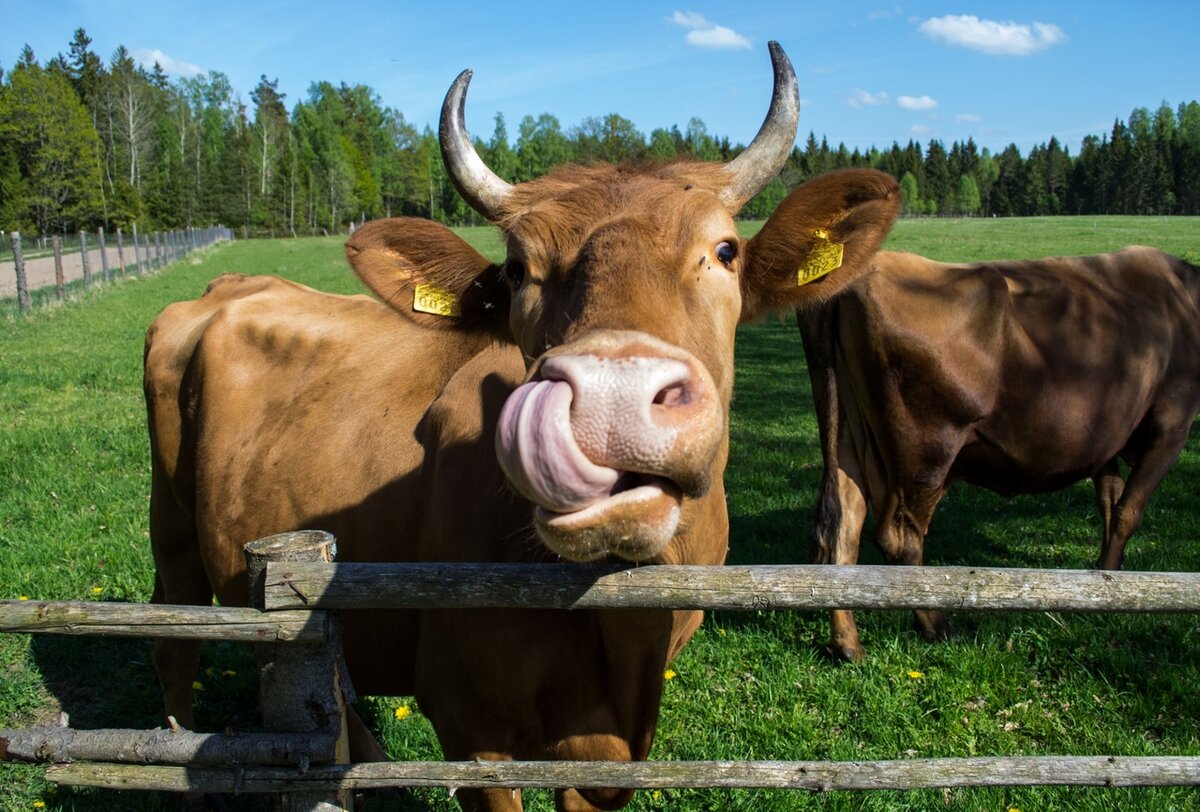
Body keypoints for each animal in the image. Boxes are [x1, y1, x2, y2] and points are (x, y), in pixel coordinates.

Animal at [142, 45, 902, 810]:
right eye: (516, 268)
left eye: (724, 251)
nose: (612, 398)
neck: (618, 632)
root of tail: (229, 285)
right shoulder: (468, 728)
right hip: (171, 534)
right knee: (173, 652)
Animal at [782, 177, 1200, 657]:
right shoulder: (1172, 421)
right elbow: (1129, 510)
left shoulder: (1107, 435)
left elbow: (1110, 502)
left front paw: (1104, 577)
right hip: (927, 450)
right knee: (901, 538)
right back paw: (937, 625)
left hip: (848, 432)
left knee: (843, 525)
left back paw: (848, 642)